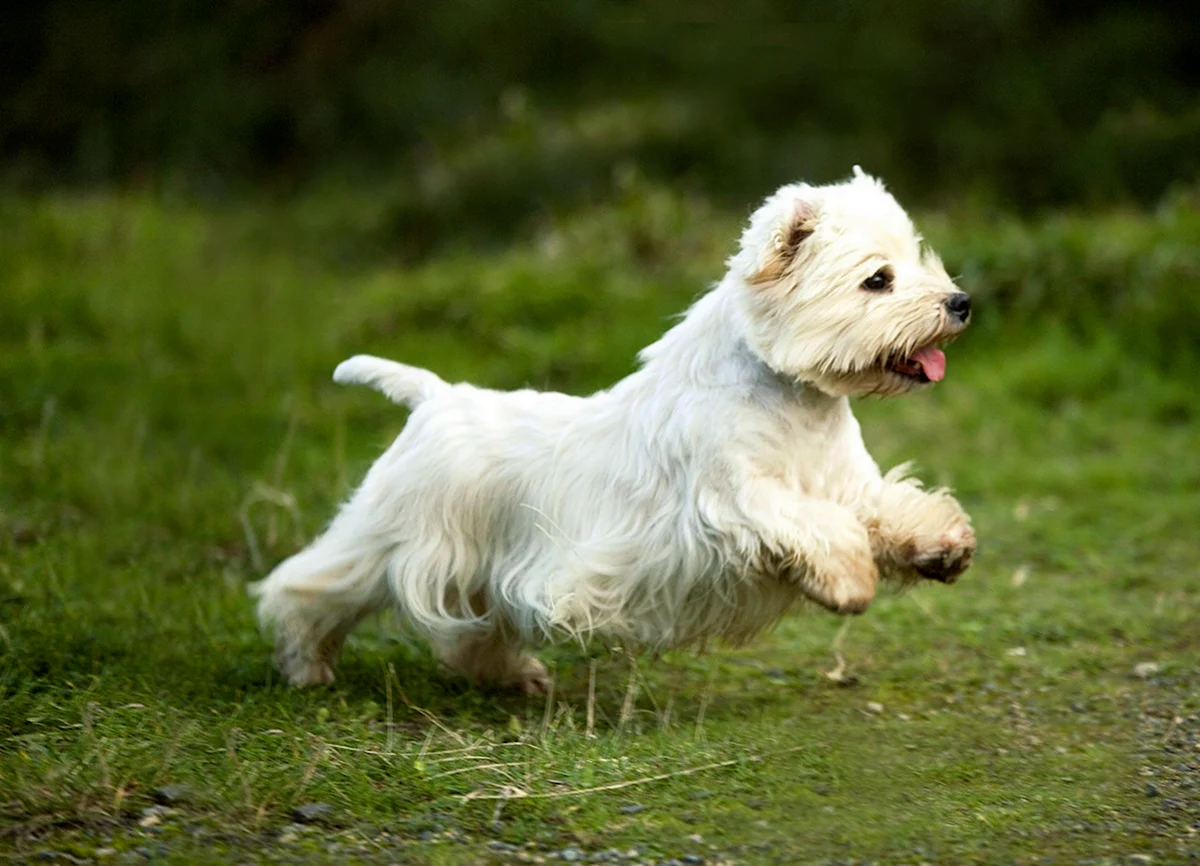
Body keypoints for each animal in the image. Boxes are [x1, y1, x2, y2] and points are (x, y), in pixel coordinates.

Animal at [253, 169, 974, 690]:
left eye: (916, 257)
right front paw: (850, 582)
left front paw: (943, 548)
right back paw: (307, 668)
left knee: (472, 632)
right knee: (307, 586)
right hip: (395, 535)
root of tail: (432, 397)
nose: (960, 302)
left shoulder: (849, 483)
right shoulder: (734, 496)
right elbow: (816, 527)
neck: (792, 393)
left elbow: (890, 509)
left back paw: (517, 677)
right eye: (877, 279)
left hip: (477, 565)